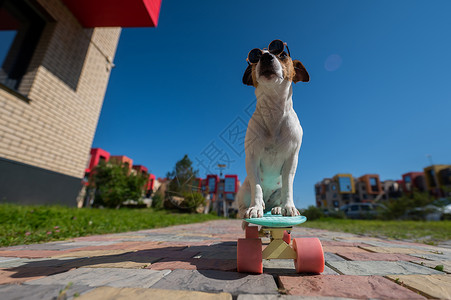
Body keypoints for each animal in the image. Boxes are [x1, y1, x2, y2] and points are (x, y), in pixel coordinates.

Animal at [237, 39, 310, 220]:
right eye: (255, 57)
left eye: (282, 55)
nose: (266, 57)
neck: (274, 112)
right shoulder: (252, 158)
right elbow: (257, 187)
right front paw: (255, 207)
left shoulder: (292, 159)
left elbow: (288, 187)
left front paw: (289, 207)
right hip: (243, 190)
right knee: (246, 201)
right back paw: (249, 208)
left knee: (279, 196)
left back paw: (277, 208)